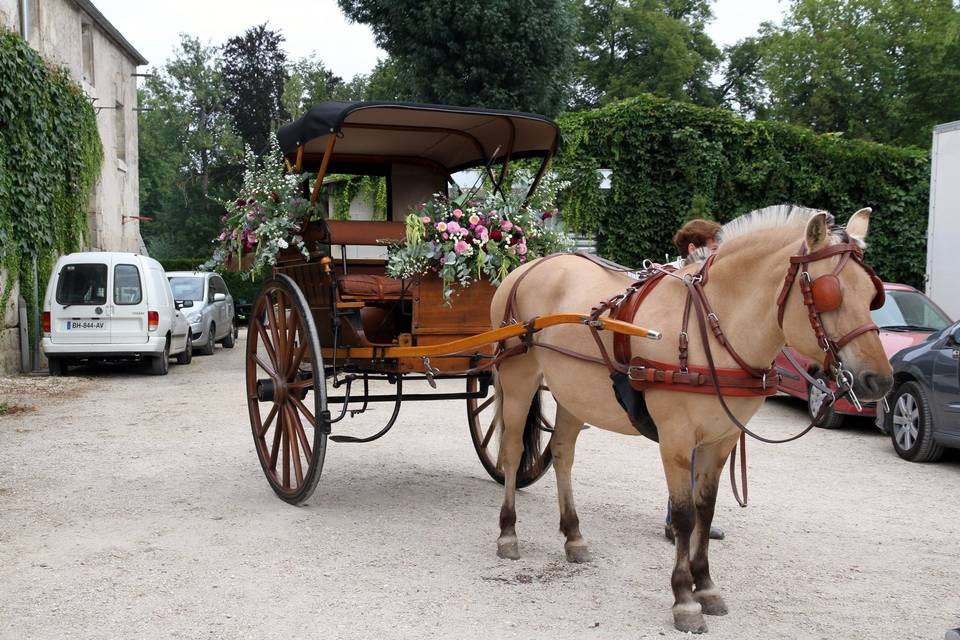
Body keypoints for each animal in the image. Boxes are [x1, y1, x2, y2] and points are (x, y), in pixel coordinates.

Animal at [492, 204, 896, 632]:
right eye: (828, 294)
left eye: (872, 295)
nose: (880, 380)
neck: (715, 330)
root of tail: (528, 267)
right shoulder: (676, 438)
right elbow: (685, 515)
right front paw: (684, 598)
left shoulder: (720, 440)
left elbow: (706, 508)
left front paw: (706, 585)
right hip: (518, 378)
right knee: (512, 452)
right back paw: (508, 532)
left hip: (572, 393)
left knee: (562, 453)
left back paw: (573, 536)